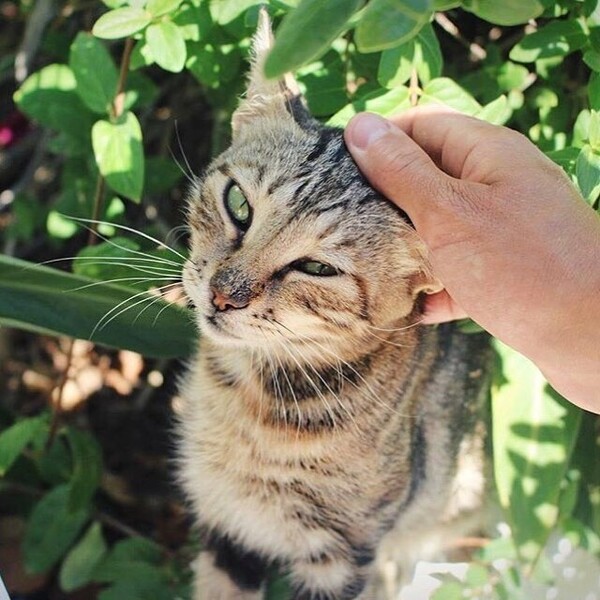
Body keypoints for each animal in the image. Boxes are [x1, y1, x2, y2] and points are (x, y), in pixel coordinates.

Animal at [175, 9, 492, 600]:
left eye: (319, 269)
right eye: (238, 203)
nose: (223, 293)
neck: (248, 403)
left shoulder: (343, 556)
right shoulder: (230, 521)